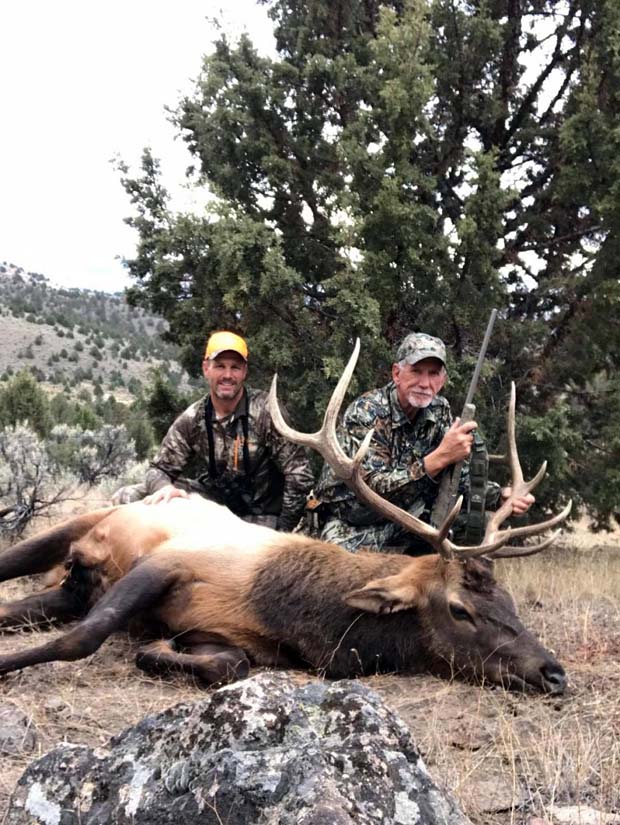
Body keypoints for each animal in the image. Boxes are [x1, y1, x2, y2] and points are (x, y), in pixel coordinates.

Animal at [0, 341, 571, 693]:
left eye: (508, 600)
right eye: (459, 609)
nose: (554, 672)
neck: (287, 607)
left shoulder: (233, 639)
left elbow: (228, 664)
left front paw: (157, 651)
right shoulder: (166, 563)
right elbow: (81, 639)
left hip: (70, 586)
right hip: (80, 526)